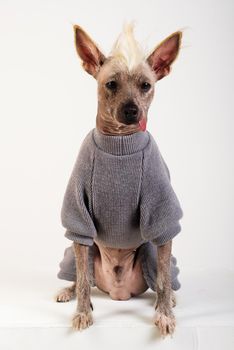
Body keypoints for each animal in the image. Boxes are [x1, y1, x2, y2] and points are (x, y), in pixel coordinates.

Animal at [55, 22, 184, 336]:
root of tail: (117, 292)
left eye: (146, 85)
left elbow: (163, 280)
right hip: (80, 250)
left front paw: (164, 314)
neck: (119, 145)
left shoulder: (163, 222)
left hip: (149, 252)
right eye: (111, 84)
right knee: (81, 276)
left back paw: (169, 299)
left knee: (160, 278)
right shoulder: (78, 221)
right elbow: (83, 281)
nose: (131, 110)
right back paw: (68, 290)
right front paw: (82, 312)